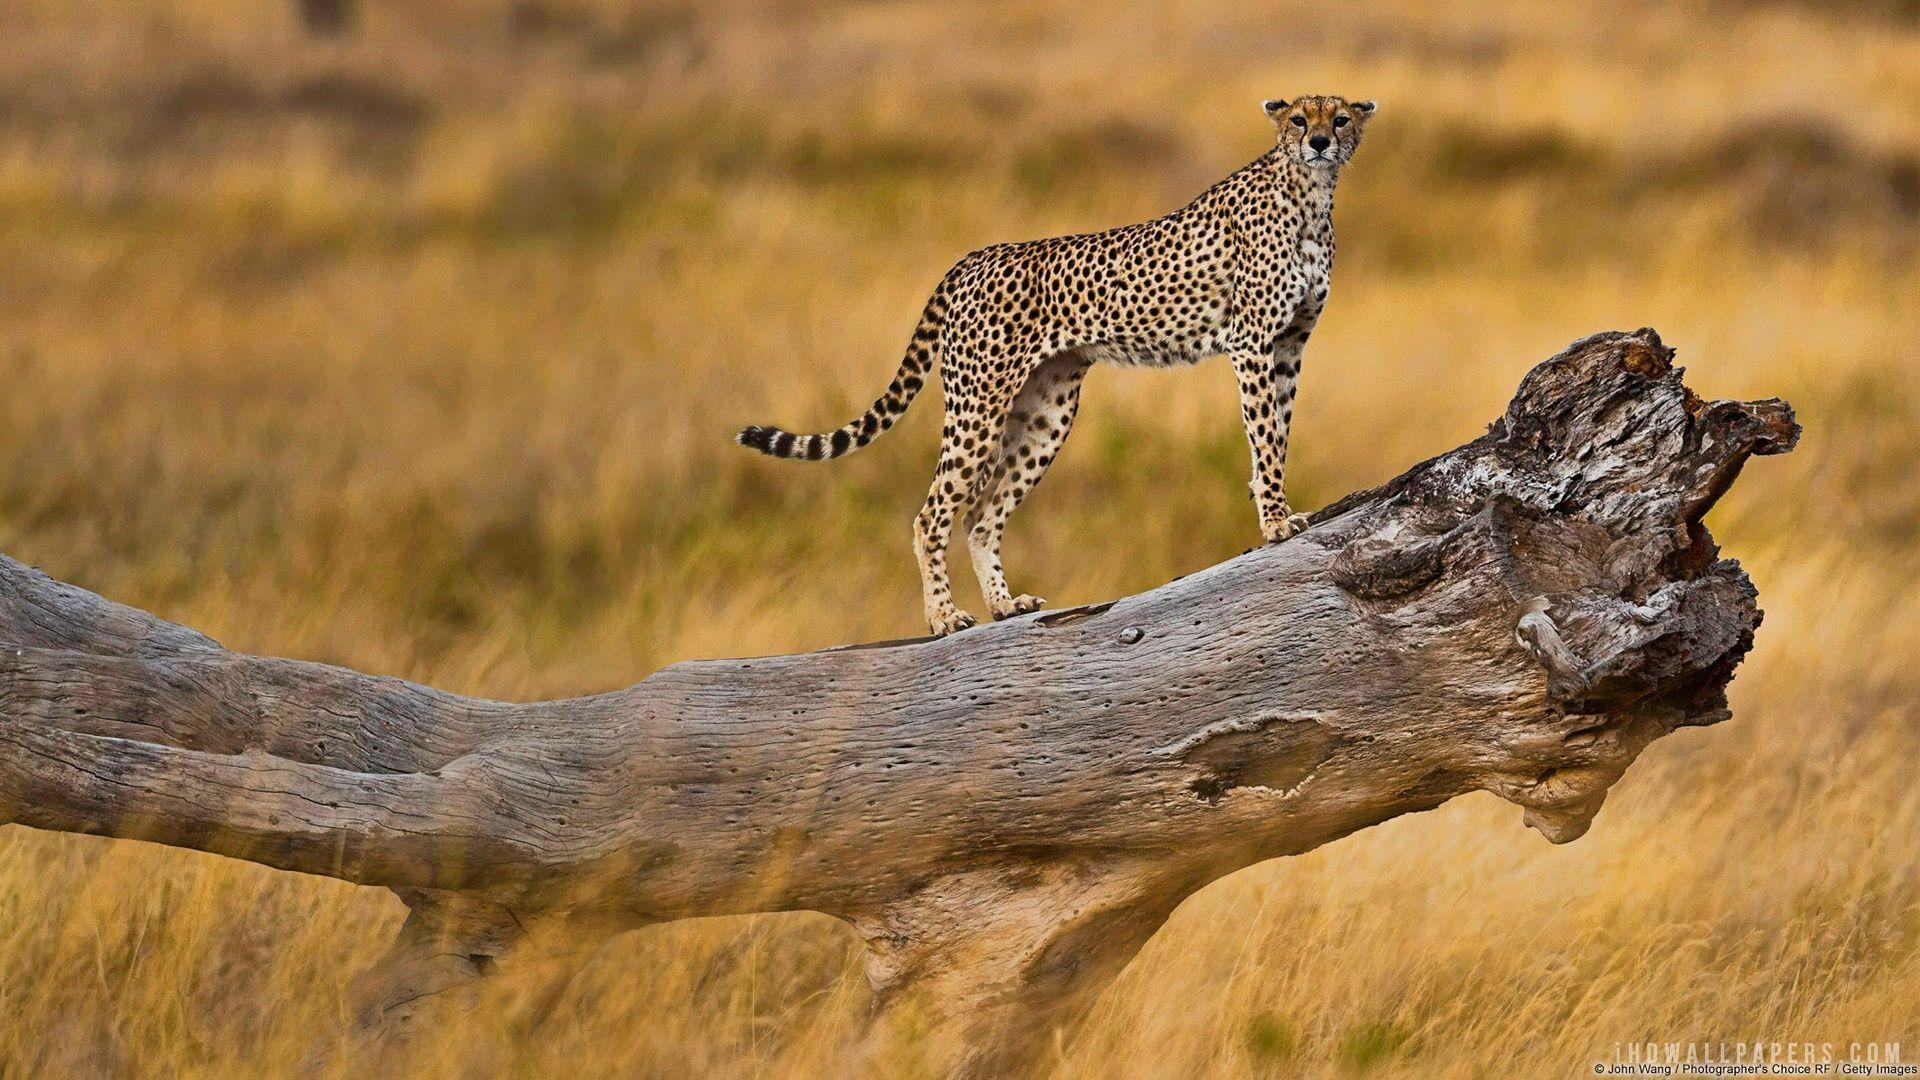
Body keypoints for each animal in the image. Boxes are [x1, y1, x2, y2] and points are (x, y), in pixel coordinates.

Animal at [737, 96, 1382, 634]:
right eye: (1298, 119)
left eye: (1339, 119)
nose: (1319, 142)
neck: (1310, 194)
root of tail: (977, 254)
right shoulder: (1253, 343)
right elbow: (1265, 436)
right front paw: (1274, 520)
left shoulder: (1290, 346)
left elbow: (1279, 431)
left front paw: (1275, 505)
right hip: (978, 407)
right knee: (933, 513)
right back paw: (943, 617)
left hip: (1047, 414)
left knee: (981, 516)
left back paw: (1005, 605)